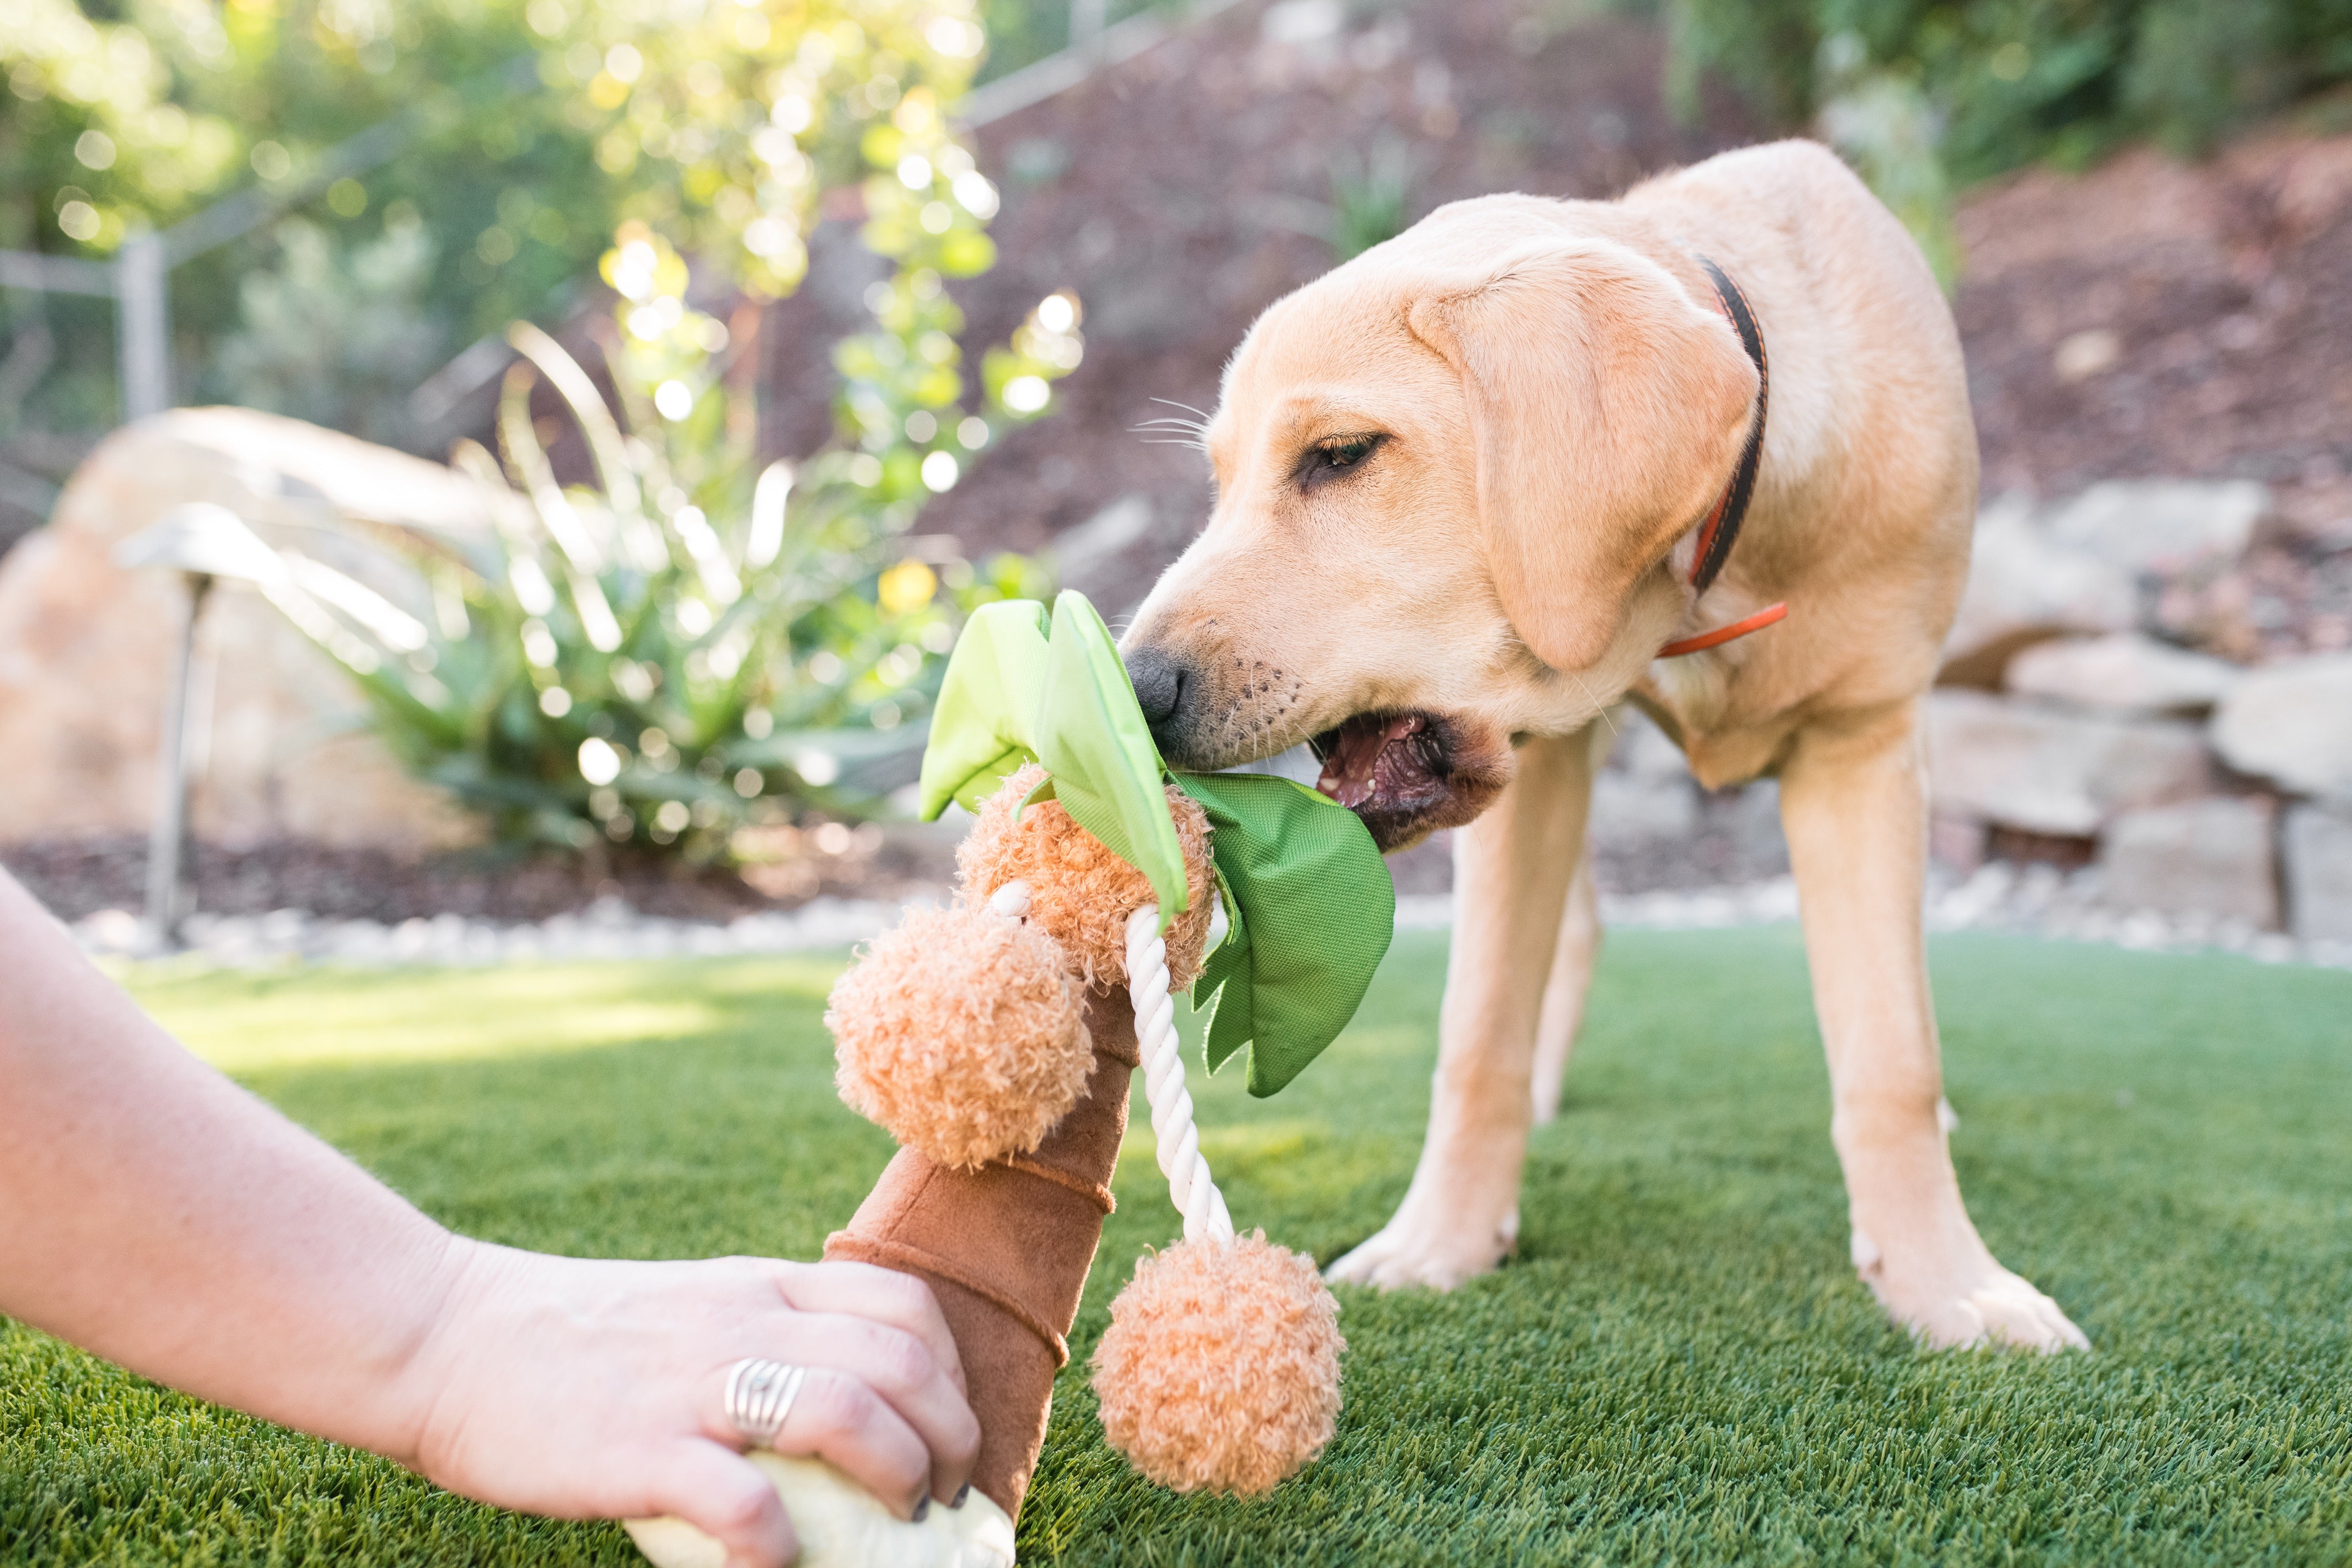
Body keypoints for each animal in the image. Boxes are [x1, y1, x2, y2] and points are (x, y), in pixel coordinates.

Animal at [1129, 141, 2089, 1354]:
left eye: (1340, 455)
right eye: (1220, 480)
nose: (1134, 684)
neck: (1708, 577)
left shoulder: (1861, 747)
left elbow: (1892, 1059)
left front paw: (1945, 1282)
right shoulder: (1534, 770)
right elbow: (1477, 1034)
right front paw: (1441, 1243)